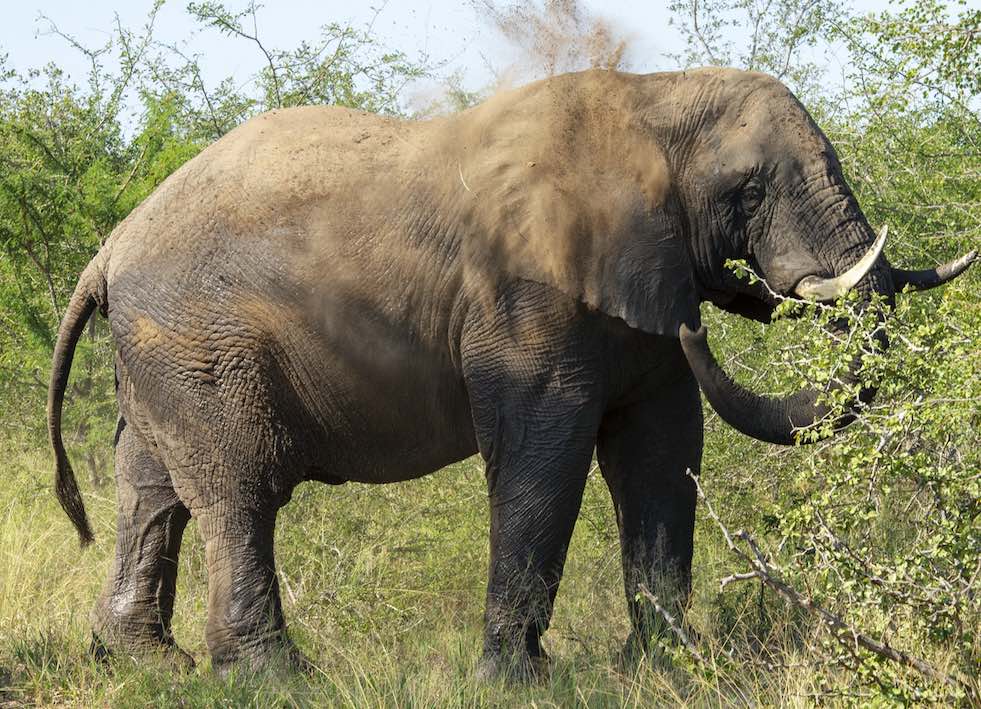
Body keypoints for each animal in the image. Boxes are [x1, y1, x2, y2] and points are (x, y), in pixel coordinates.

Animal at [47, 69, 972, 676]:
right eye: (748, 191)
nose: (713, 312)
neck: (649, 99)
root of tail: (108, 250)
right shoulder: (526, 296)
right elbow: (544, 454)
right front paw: (518, 680)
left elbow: (661, 454)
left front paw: (664, 669)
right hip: (200, 343)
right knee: (239, 492)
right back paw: (275, 680)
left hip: (164, 352)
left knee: (149, 489)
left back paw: (145, 664)